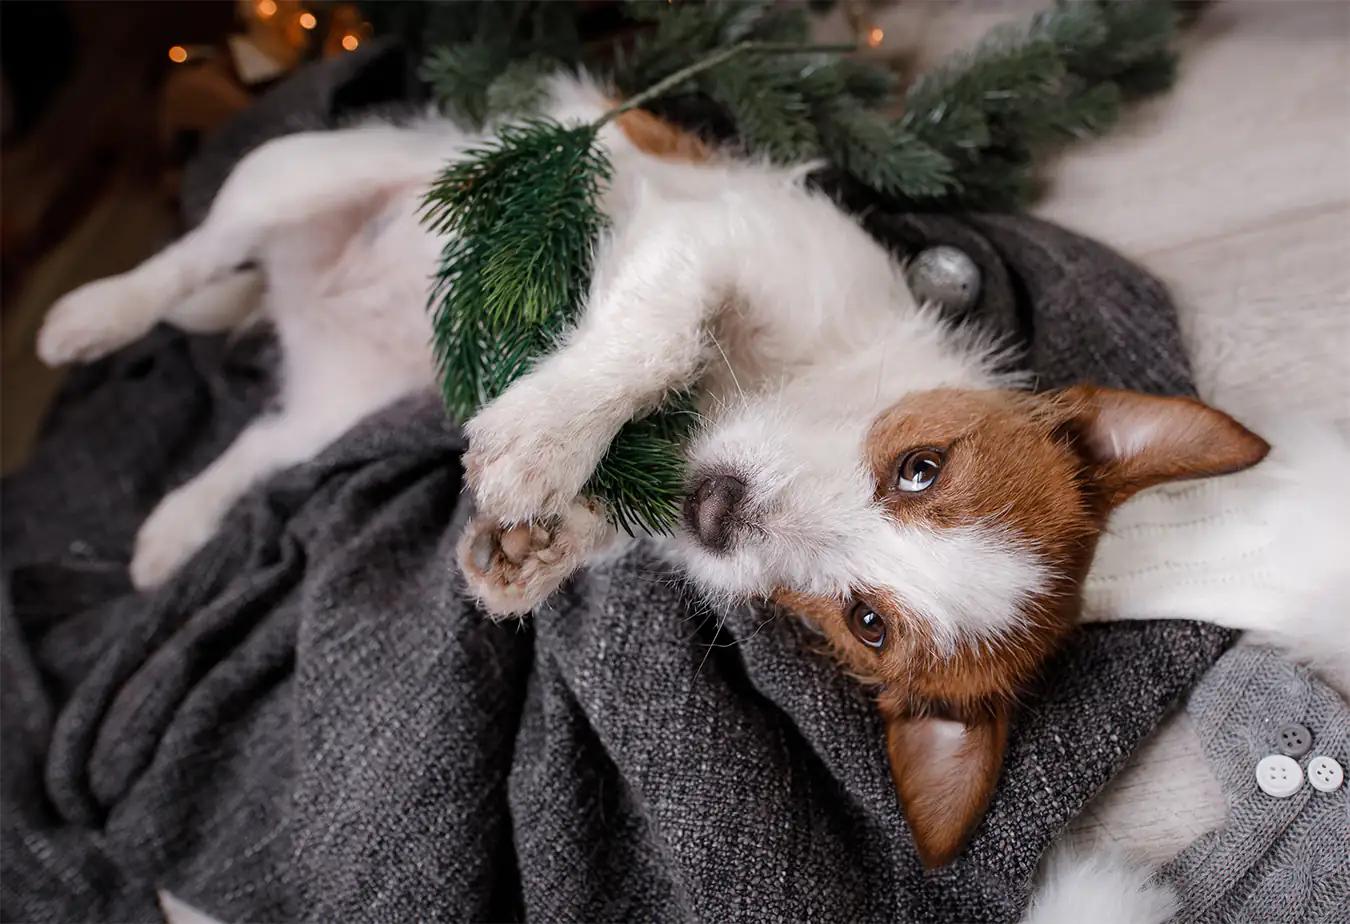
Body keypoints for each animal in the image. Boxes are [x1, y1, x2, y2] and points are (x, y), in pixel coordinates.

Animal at [34, 77, 1274, 864]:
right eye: (920, 468)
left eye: (865, 623)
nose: (718, 510)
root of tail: (301, 298)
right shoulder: (718, 243)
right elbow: (659, 335)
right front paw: (541, 439)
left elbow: (602, 519)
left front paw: (528, 552)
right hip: (307, 170)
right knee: (197, 253)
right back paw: (91, 317)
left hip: (344, 399)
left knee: (256, 448)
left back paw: (172, 528)